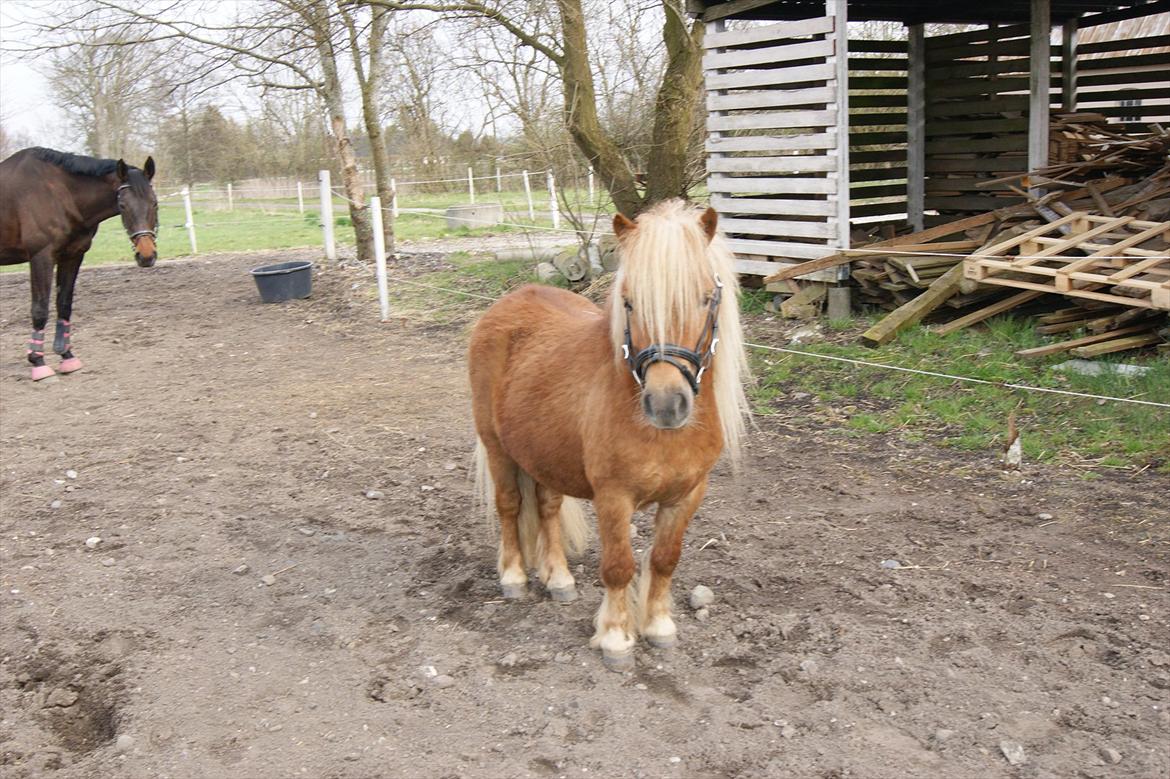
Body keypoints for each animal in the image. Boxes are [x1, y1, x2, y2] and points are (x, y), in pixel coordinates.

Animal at [0, 145, 157, 378]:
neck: (60, 193)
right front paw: (38, 361)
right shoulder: (41, 257)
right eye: (122, 205)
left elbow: (64, 304)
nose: (146, 255)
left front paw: (66, 355)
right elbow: (40, 309)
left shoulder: (73, 256)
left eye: (155, 203)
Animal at [467, 200, 748, 669]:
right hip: (497, 448)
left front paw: (659, 627)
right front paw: (616, 637)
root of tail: (509, 301)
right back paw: (514, 577)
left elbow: (664, 560)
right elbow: (618, 566)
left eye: (706, 298)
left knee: (546, 507)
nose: (666, 404)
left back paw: (559, 579)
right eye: (629, 303)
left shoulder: (687, 495)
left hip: (544, 453)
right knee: (510, 506)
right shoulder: (613, 497)